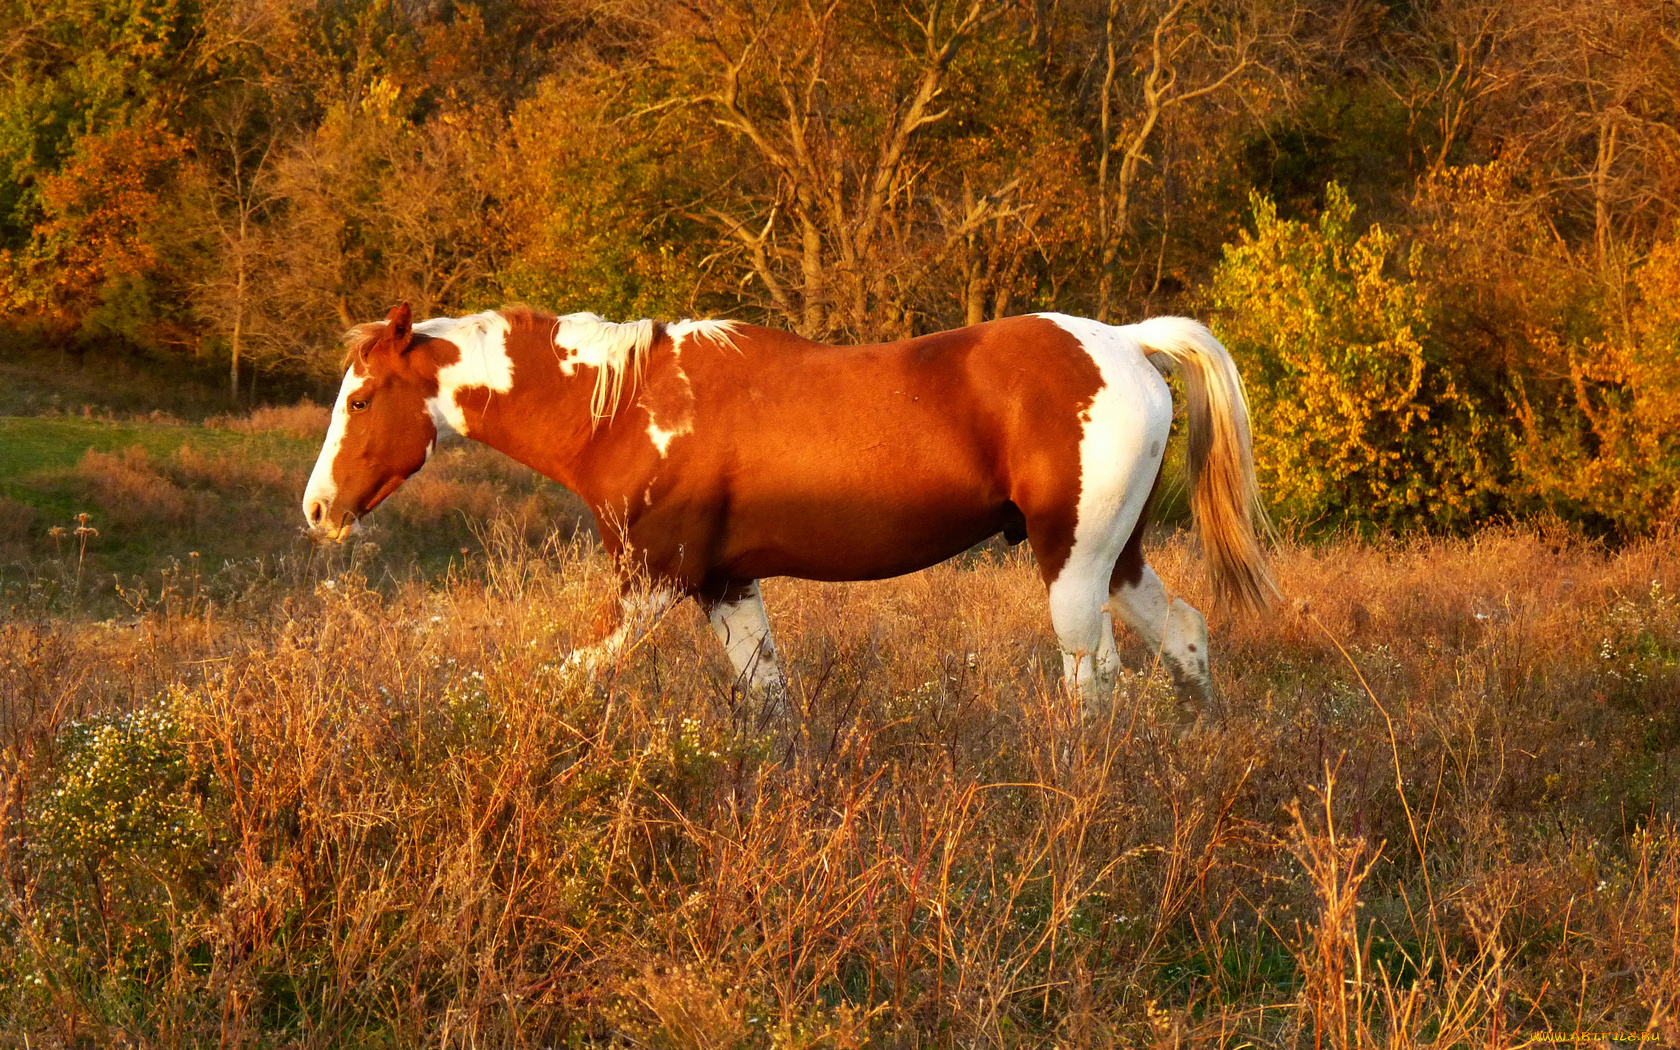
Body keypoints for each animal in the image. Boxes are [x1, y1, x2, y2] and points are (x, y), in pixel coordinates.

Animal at [302, 302, 1270, 712]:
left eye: (361, 398)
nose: (317, 511)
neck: (622, 406)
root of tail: (1127, 344)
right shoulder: (725, 586)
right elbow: (767, 698)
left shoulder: (655, 582)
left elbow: (570, 672)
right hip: (1116, 555)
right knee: (1184, 634)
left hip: (1070, 559)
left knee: (1092, 678)